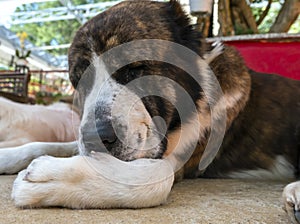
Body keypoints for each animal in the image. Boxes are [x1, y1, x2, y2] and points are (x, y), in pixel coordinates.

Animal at [0, 0, 300, 223]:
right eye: (79, 81)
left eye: (135, 69)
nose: (96, 137)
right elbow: (46, 144)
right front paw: (8, 156)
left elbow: (155, 177)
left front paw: (50, 176)